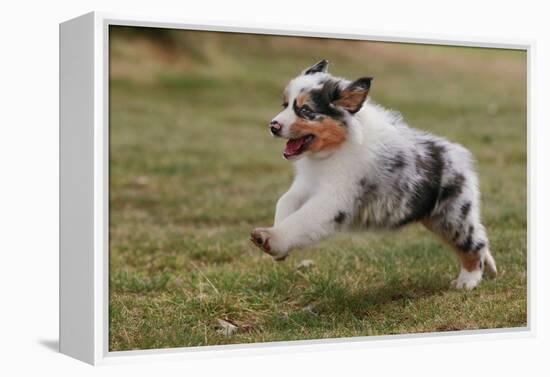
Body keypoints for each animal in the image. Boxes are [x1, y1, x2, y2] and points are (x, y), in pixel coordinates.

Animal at [252, 58, 498, 290]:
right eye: (285, 105)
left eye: (305, 111)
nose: (273, 125)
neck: (332, 151)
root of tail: (460, 156)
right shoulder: (305, 185)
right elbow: (285, 201)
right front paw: (278, 245)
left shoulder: (333, 200)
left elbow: (301, 221)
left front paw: (270, 238)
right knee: (480, 236)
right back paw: (490, 269)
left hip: (451, 215)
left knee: (473, 244)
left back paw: (468, 281)